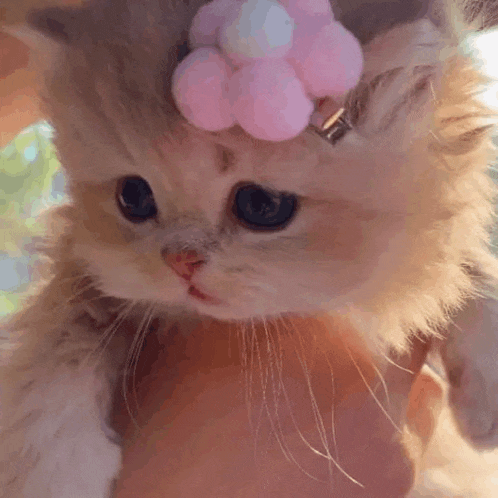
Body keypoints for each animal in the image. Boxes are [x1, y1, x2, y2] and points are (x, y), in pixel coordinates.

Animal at [0, 0, 498, 496]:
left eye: (261, 205)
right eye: (133, 197)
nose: (181, 260)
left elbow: (465, 266)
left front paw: (485, 386)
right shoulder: (84, 269)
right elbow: (61, 341)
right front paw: (57, 469)